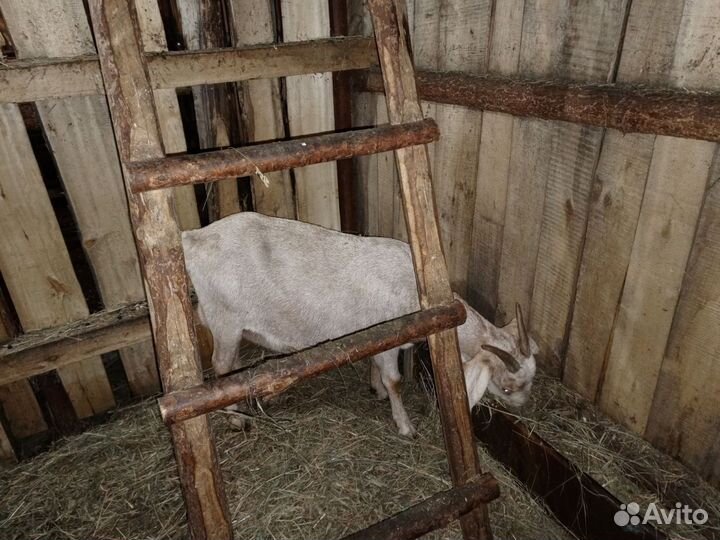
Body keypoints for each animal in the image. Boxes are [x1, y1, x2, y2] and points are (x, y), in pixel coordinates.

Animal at [182, 212, 537, 436]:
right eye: (507, 386)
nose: (523, 406)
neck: (416, 288)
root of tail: (194, 237)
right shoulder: (389, 342)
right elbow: (395, 381)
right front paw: (405, 426)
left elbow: (379, 372)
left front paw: (376, 390)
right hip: (226, 320)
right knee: (221, 367)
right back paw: (235, 419)